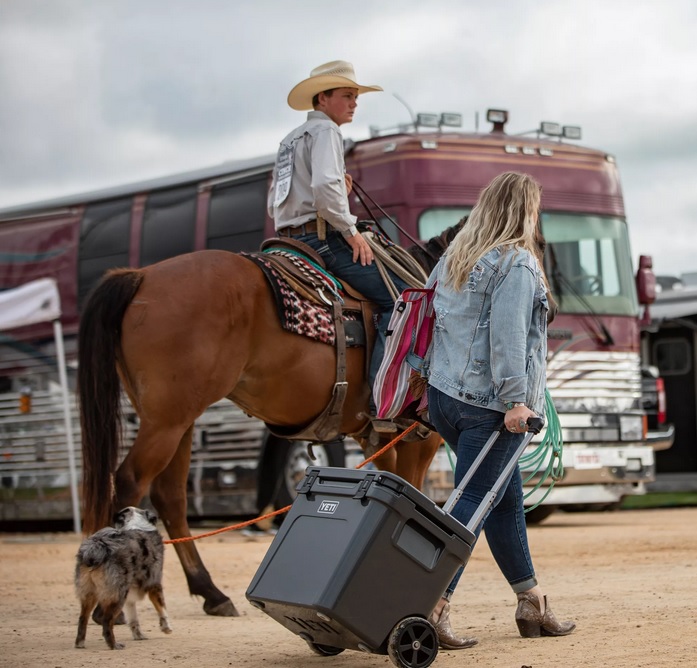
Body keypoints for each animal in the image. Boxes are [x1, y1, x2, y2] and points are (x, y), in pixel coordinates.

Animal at [79, 243, 444, 620]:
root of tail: (141, 276)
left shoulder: (380, 440)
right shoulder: (421, 439)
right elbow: (416, 498)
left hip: (176, 420)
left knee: (170, 496)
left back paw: (210, 592)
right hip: (166, 422)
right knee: (130, 481)